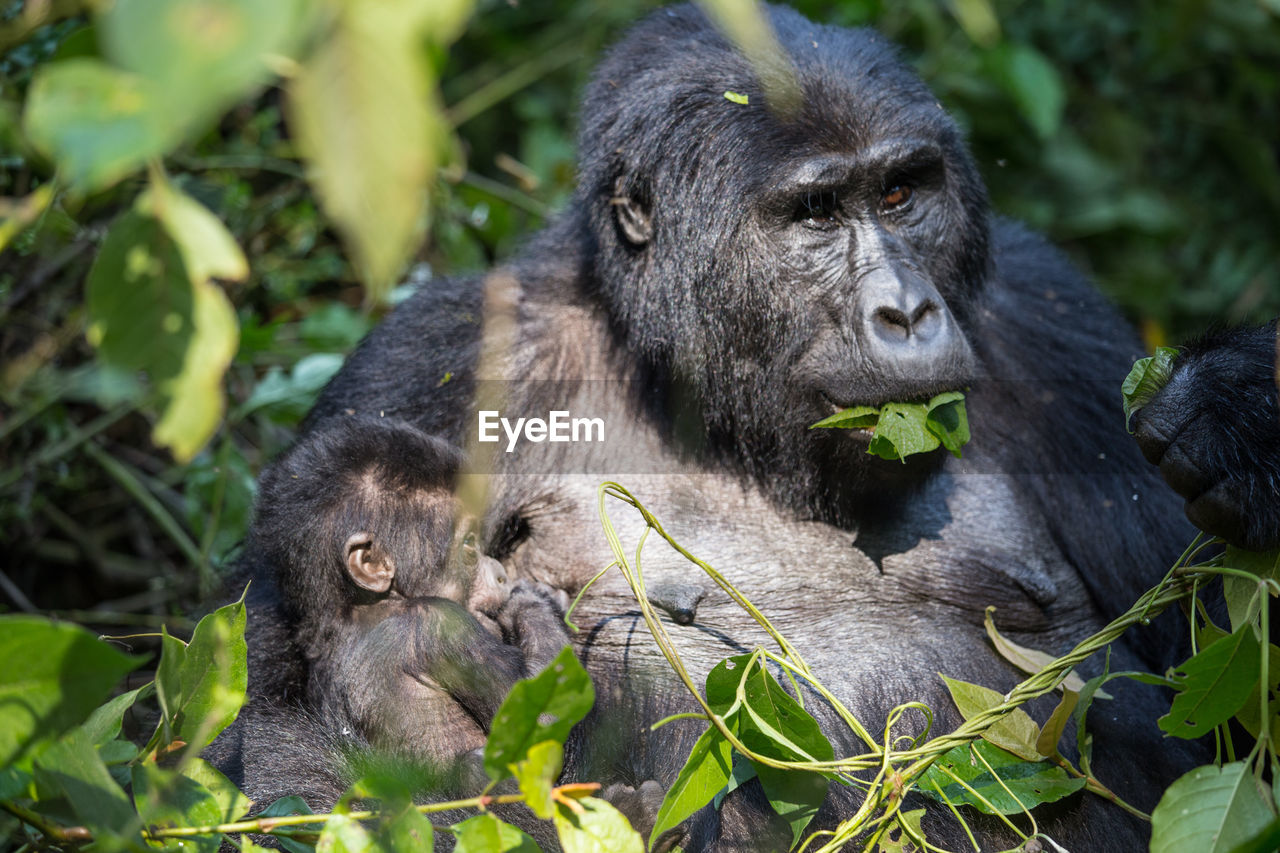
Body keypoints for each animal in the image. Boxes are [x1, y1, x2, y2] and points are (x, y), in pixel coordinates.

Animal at [247, 414, 568, 773]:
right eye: (470, 544)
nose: (500, 573)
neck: (361, 610)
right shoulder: (440, 623)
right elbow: (538, 718)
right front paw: (534, 600)